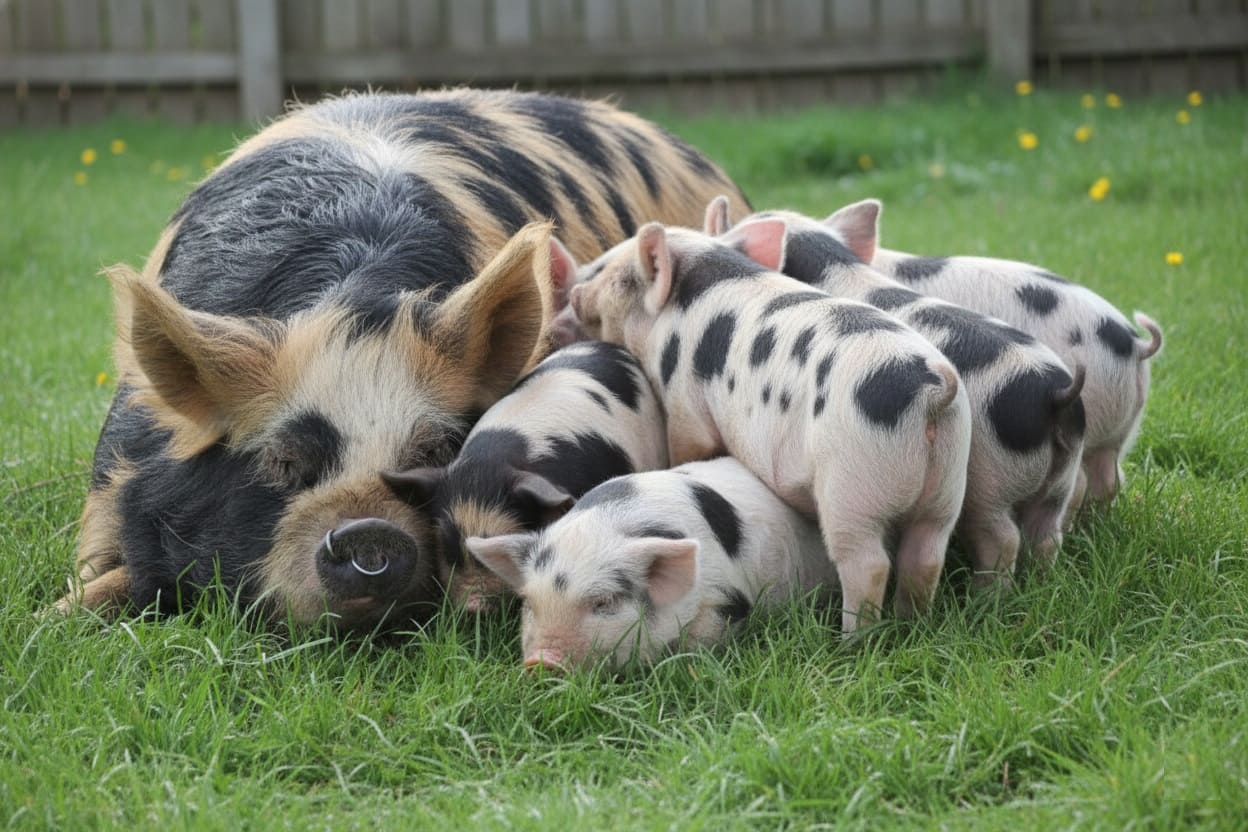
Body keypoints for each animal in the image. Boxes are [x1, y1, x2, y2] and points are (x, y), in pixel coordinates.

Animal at [570, 221, 973, 634]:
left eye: (616, 277)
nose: (575, 293)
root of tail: (933, 390)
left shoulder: (684, 402)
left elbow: (691, 445)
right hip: (948, 481)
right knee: (927, 554)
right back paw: (913, 624)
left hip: (851, 485)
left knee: (868, 563)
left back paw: (850, 639)